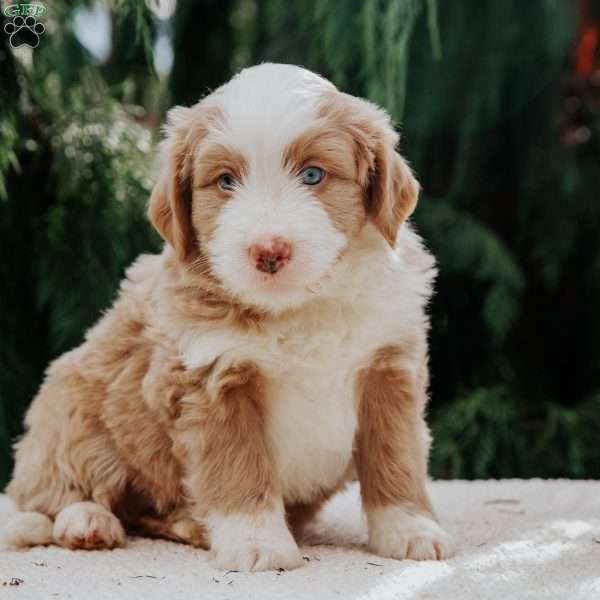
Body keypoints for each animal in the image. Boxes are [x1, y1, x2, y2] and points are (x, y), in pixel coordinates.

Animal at [2, 63, 452, 568]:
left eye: (313, 174)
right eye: (225, 182)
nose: (269, 250)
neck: (298, 307)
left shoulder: (388, 369)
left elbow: (396, 456)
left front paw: (409, 529)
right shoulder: (212, 381)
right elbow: (238, 466)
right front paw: (258, 544)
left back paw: (186, 523)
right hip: (69, 403)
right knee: (51, 490)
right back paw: (86, 521)